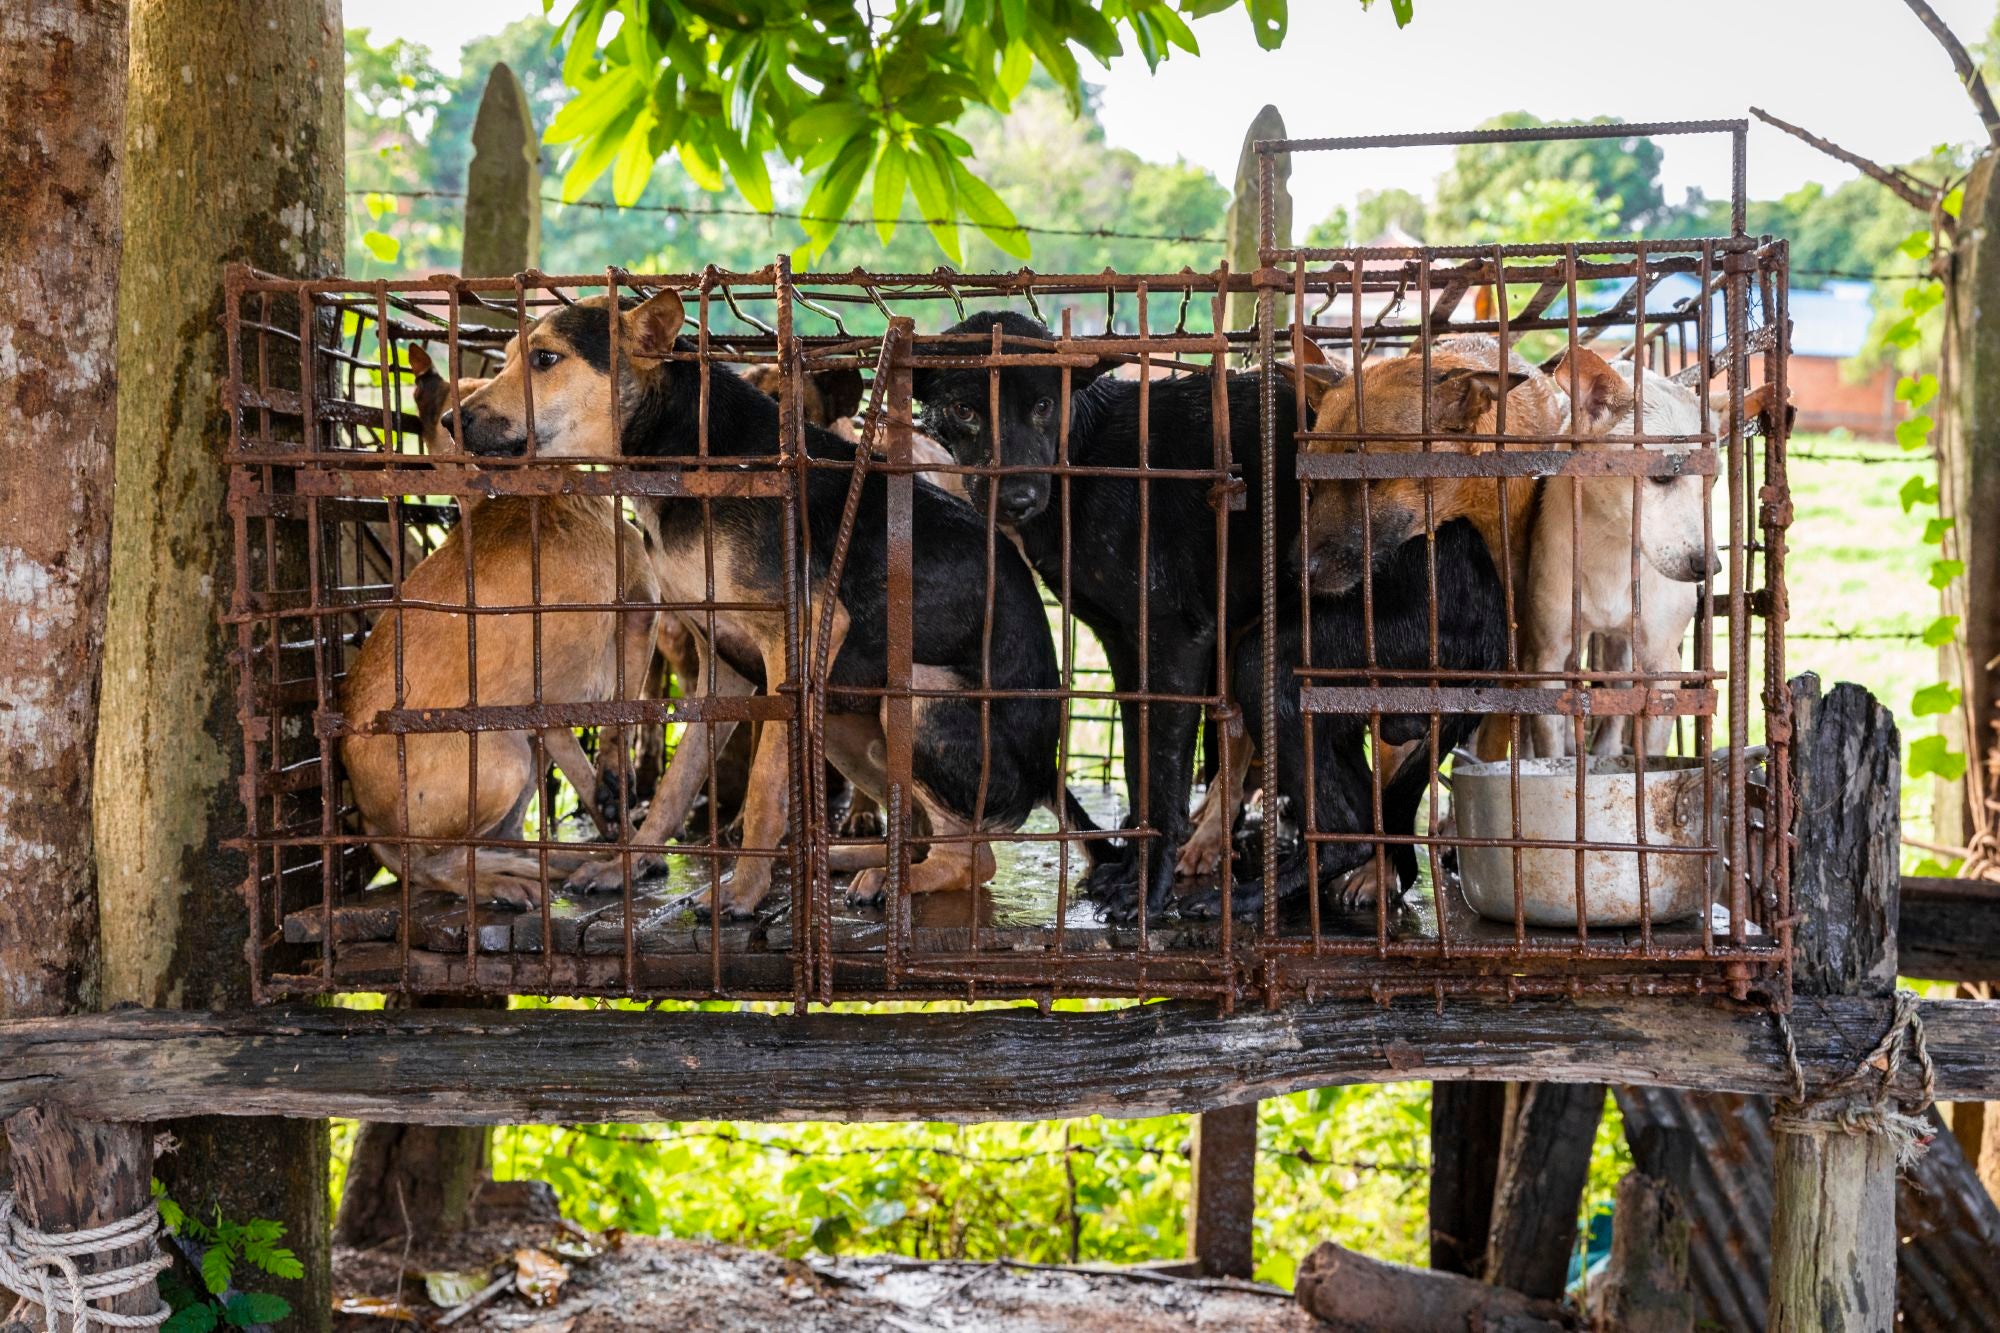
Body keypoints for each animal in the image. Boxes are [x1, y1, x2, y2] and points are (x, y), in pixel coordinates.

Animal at [916, 312, 1304, 912]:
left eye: (1044, 405)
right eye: (964, 409)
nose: (1019, 499)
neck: (1087, 458)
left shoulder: (1177, 639)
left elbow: (1164, 773)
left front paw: (1149, 890)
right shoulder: (1123, 644)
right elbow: (1138, 764)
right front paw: (1129, 867)